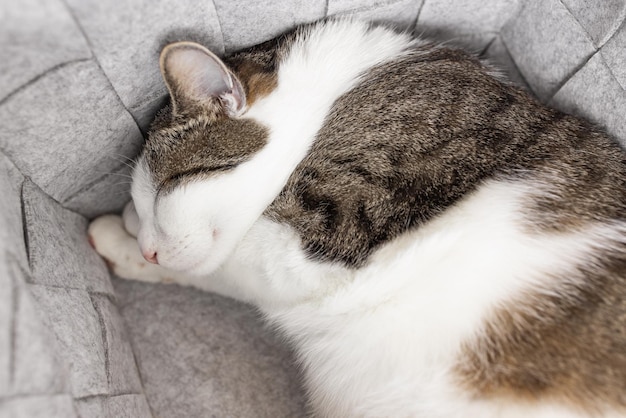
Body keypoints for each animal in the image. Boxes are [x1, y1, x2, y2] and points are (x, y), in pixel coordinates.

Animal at [89, 18, 624, 418]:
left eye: (164, 191)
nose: (149, 248)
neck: (331, 98)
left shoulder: (330, 232)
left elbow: (225, 266)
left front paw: (122, 236)